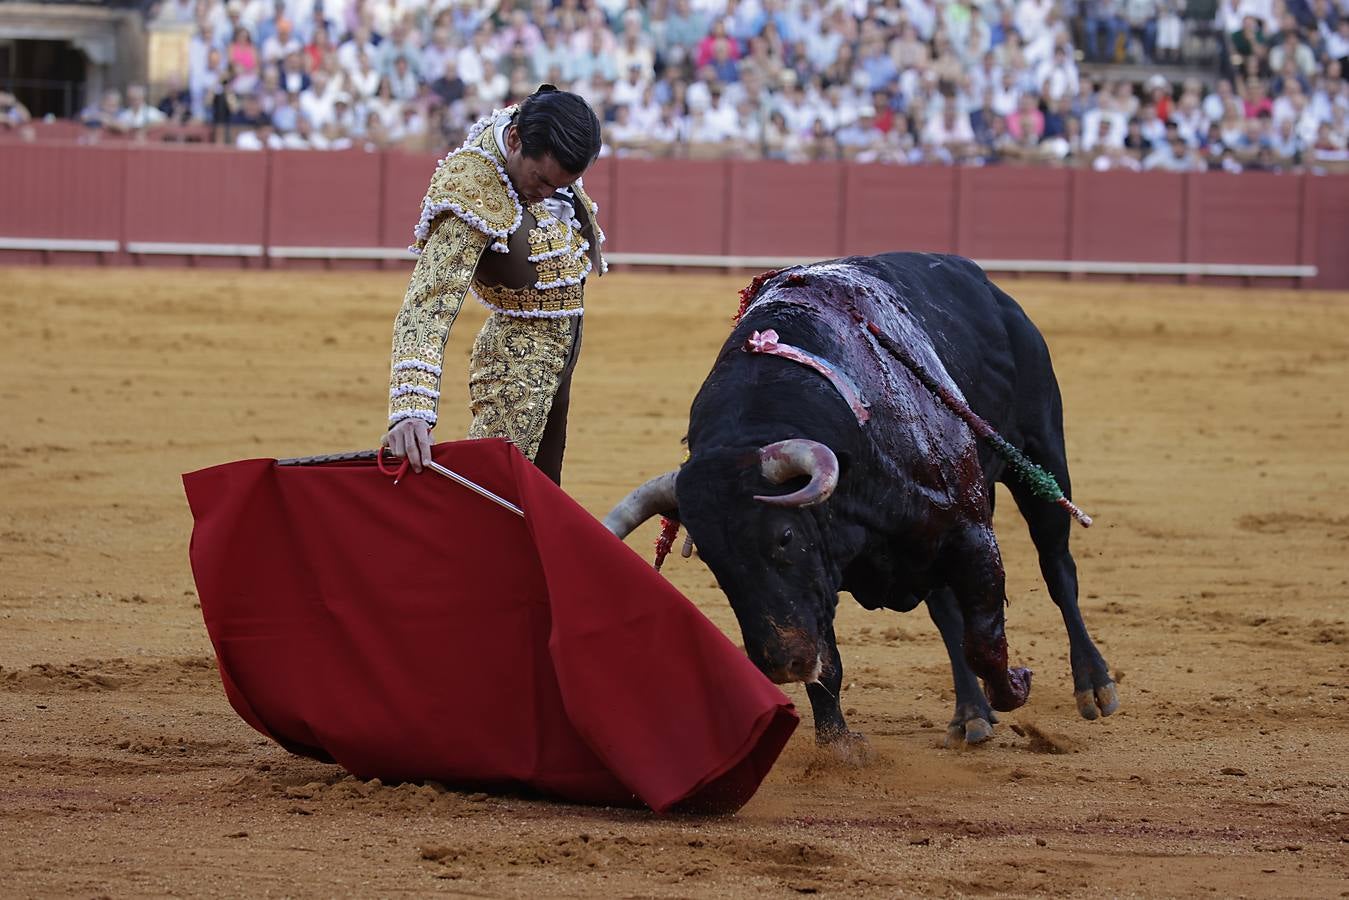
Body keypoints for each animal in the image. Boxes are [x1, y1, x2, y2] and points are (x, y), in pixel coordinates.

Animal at [604, 249, 1116, 750]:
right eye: (711, 557)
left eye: (784, 536)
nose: (781, 664)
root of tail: (988, 287)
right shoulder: (822, 576)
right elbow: (829, 666)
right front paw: (839, 749)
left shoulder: (970, 533)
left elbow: (987, 642)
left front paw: (1019, 682)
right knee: (947, 611)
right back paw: (971, 713)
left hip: (1040, 453)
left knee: (1058, 569)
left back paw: (1094, 685)